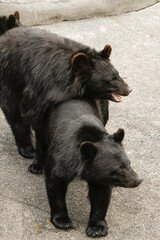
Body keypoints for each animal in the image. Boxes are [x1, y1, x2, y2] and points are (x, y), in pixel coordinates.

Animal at [0, 26, 130, 167]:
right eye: (111, 80)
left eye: (117, 74)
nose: (129, 90)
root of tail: (6, 34)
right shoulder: (38, 91)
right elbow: (39, 126)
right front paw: (38, 163)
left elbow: (103, 113)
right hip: (10, 82)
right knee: (15, 116)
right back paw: (27, 149)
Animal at [42, 98, 142, 237]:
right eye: (118, 168)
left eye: (129, 163)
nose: (138, 180)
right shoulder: (61, 158)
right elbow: (55, 183)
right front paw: (62, 221)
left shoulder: (100, 177)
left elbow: (100, 195)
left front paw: (96, 228)